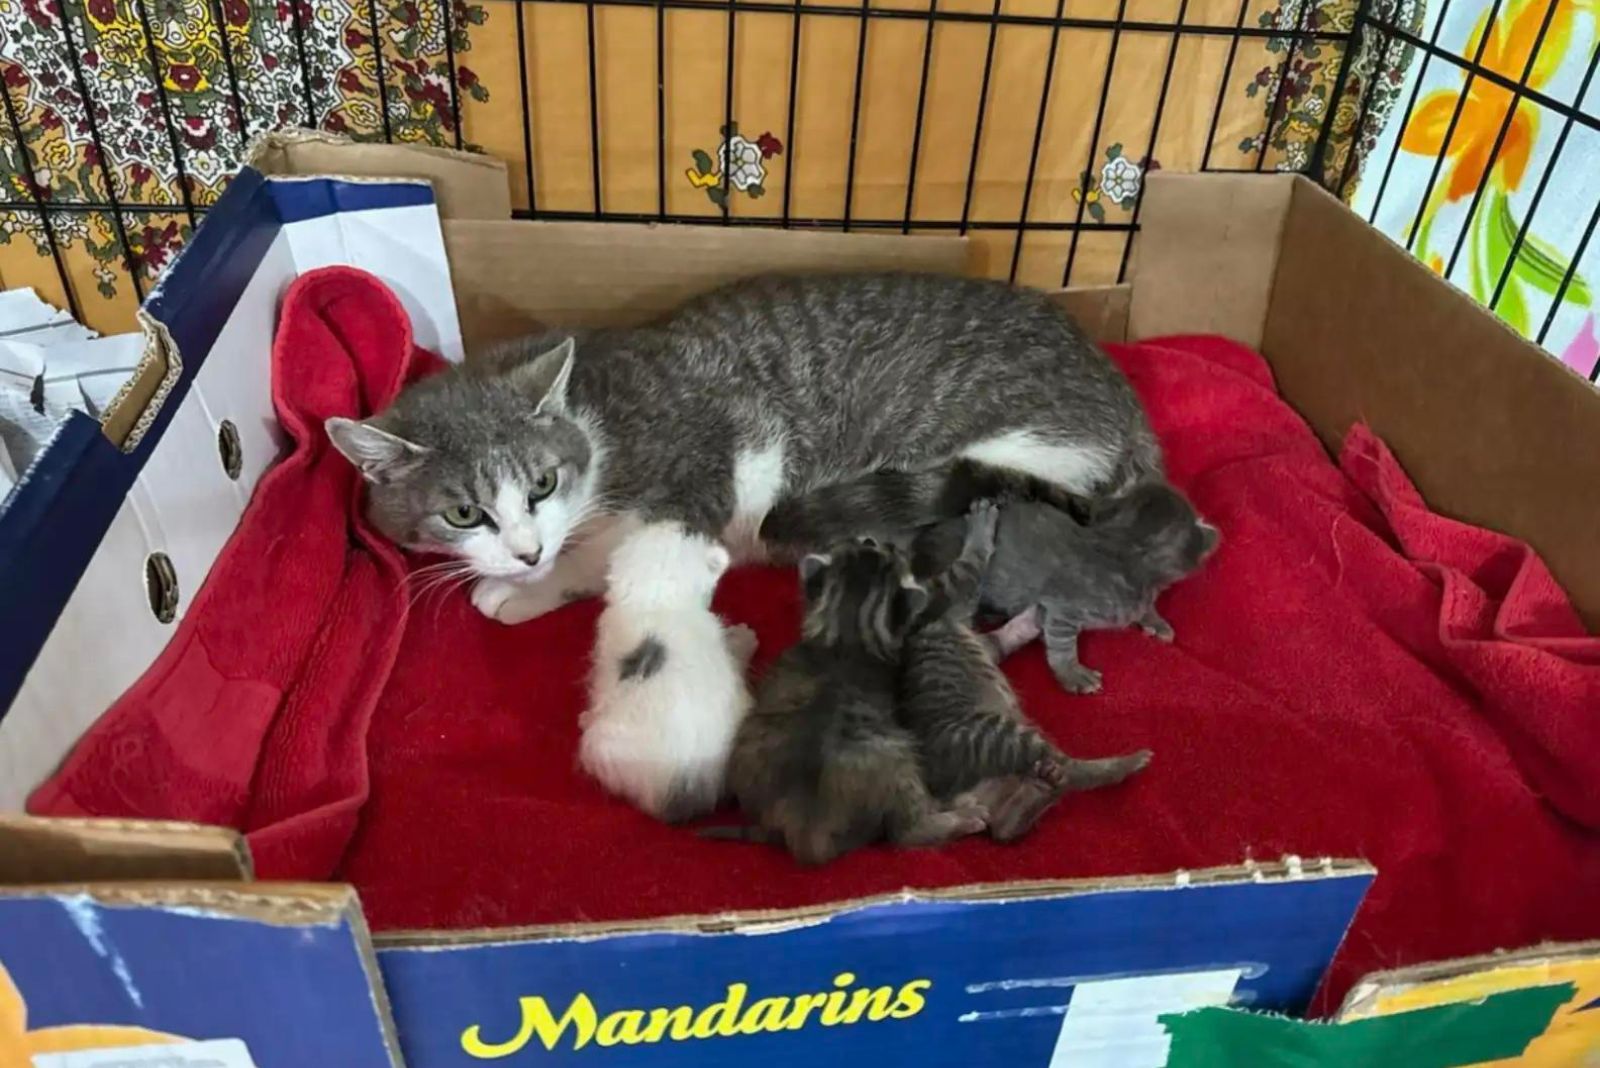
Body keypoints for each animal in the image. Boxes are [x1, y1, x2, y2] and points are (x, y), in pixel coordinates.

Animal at [710, 537, 985, 863]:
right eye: (890, 553)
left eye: (865, 545)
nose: (876, 539)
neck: (847, 634)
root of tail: (806, 831)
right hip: (898, 761)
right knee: (910, 831)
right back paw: (963, 814)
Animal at [902, 502, 1152, 844]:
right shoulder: (958, 603)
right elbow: (975, 562)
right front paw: (981, 526)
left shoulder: (985, 641)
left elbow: (1012, 631)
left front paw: (1035, 613)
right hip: (999, 733)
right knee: (1068, 771)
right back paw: (1128, 763)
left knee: (1006, 826)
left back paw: (1039, 791)